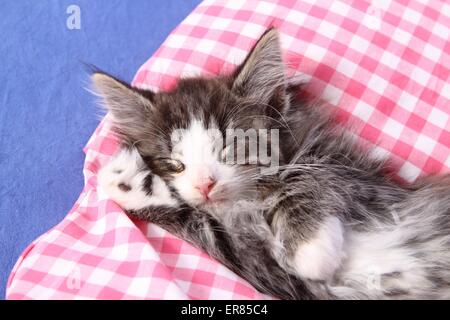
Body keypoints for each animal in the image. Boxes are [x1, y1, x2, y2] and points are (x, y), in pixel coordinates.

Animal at [92, 28, 450, 298]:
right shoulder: (268, 272)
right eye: (173, 163)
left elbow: (309, 176)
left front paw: (309, 247)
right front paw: (127, 180)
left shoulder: (365, 180)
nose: (205, 184)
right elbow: (208, 231)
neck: (251, 201)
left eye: (231, 147)